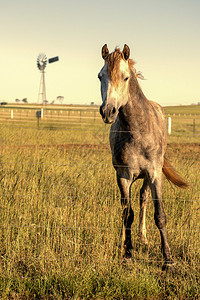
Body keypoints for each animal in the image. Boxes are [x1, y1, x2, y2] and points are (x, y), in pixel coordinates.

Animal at [98, 44, 188, 270]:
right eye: (100, 76)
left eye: (125, 77)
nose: (108, 111)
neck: (137, 129)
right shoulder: (123, 177)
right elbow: (126, 214)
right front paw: (128, 254)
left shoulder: (154, 174)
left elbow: (160, 215)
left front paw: (168, 260)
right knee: (127, 209)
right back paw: (124, 240)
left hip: (148, 178)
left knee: (144, 199)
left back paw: (144, 237)